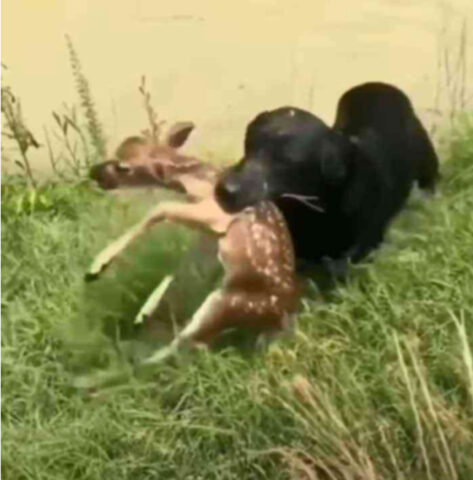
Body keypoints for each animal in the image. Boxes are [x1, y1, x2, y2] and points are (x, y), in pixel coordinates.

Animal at [215, 82, 438, 274]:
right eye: (248, 144)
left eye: (287, 160)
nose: (224, 190)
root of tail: (379, 85)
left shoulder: (354, 256)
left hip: (426, 160)